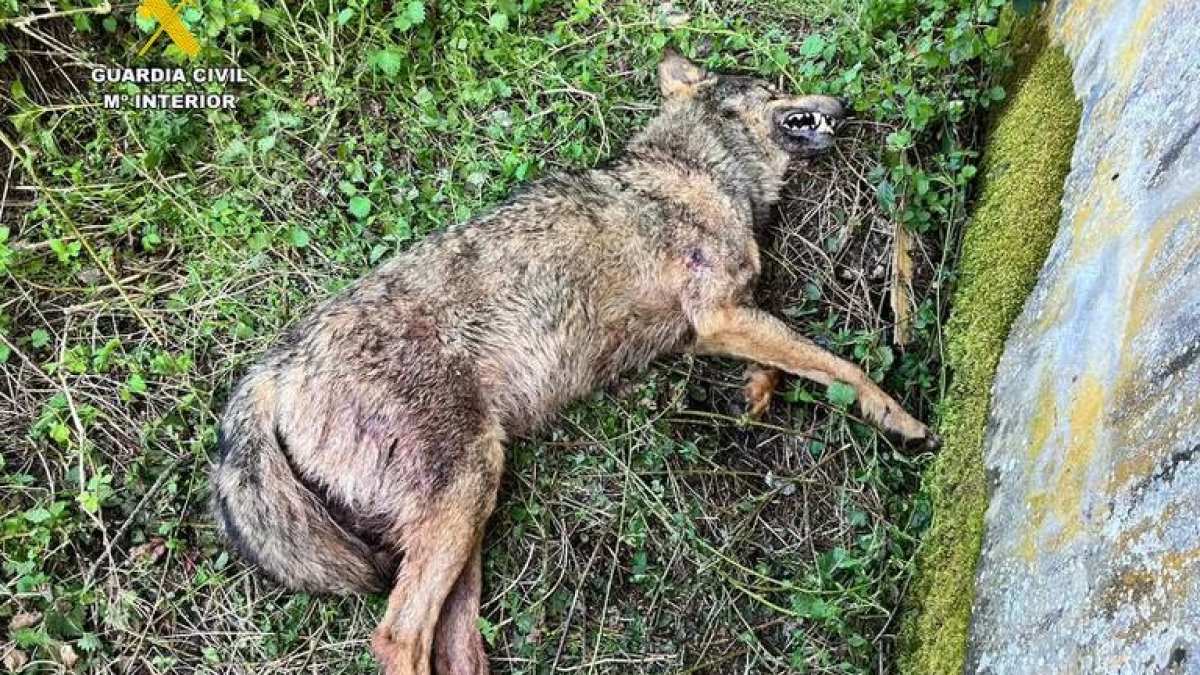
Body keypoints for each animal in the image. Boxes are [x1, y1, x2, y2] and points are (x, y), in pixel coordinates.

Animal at [211, 49, 937, 675]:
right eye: (773, 86)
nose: (844, 103)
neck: (703, 171)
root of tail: (277, 367)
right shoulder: (719, 314)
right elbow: (842, 366)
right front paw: (900, 419)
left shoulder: (714, 323)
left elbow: (792, 357)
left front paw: (757, 393)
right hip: (464, 497)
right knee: (397, 638)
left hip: (465, 520)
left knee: (454, 648)